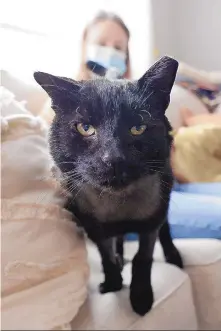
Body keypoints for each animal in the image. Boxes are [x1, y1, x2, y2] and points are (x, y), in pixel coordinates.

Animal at [34, 56, 183, 316]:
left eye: (138, 128)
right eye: (85, 128)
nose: (112, 158)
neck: (117, 206)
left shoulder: (151, 222)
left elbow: (143, 258)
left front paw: (141, 298)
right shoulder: (93, 227)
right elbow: (106, 256)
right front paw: (113, 283)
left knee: (164, 229)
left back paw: (173, 255)